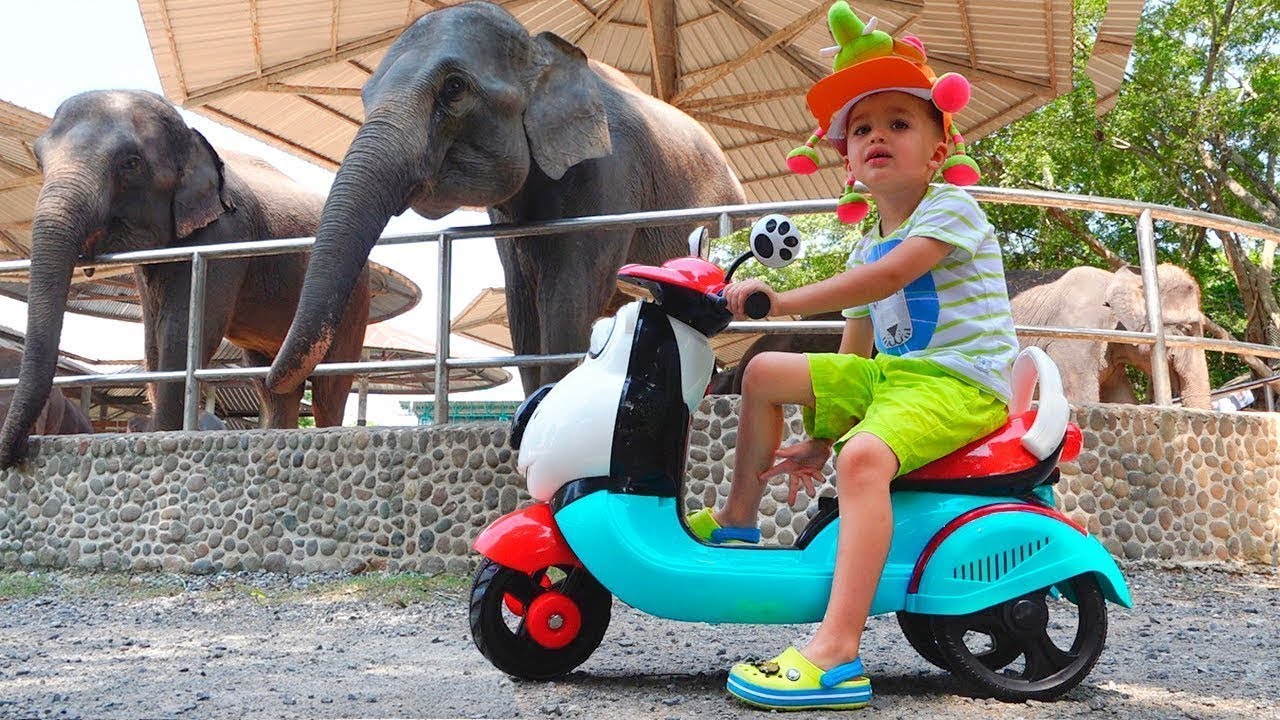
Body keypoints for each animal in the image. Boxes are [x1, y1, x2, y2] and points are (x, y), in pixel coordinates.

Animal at [0, 89, 371, 468]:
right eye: (39, 161)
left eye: (130, 163)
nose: (12, 455)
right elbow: (153, 336)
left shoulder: (225, 233)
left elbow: (183, 328)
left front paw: (163, 435)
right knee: (269, 383)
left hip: (357, 295)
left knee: (330, 384)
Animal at [268, 1, 747, 397]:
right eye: (364, 97)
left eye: (454, 87)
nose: (270, 379)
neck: (542, 49)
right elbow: (522, 306)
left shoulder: (611, 172)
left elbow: (568, 296)